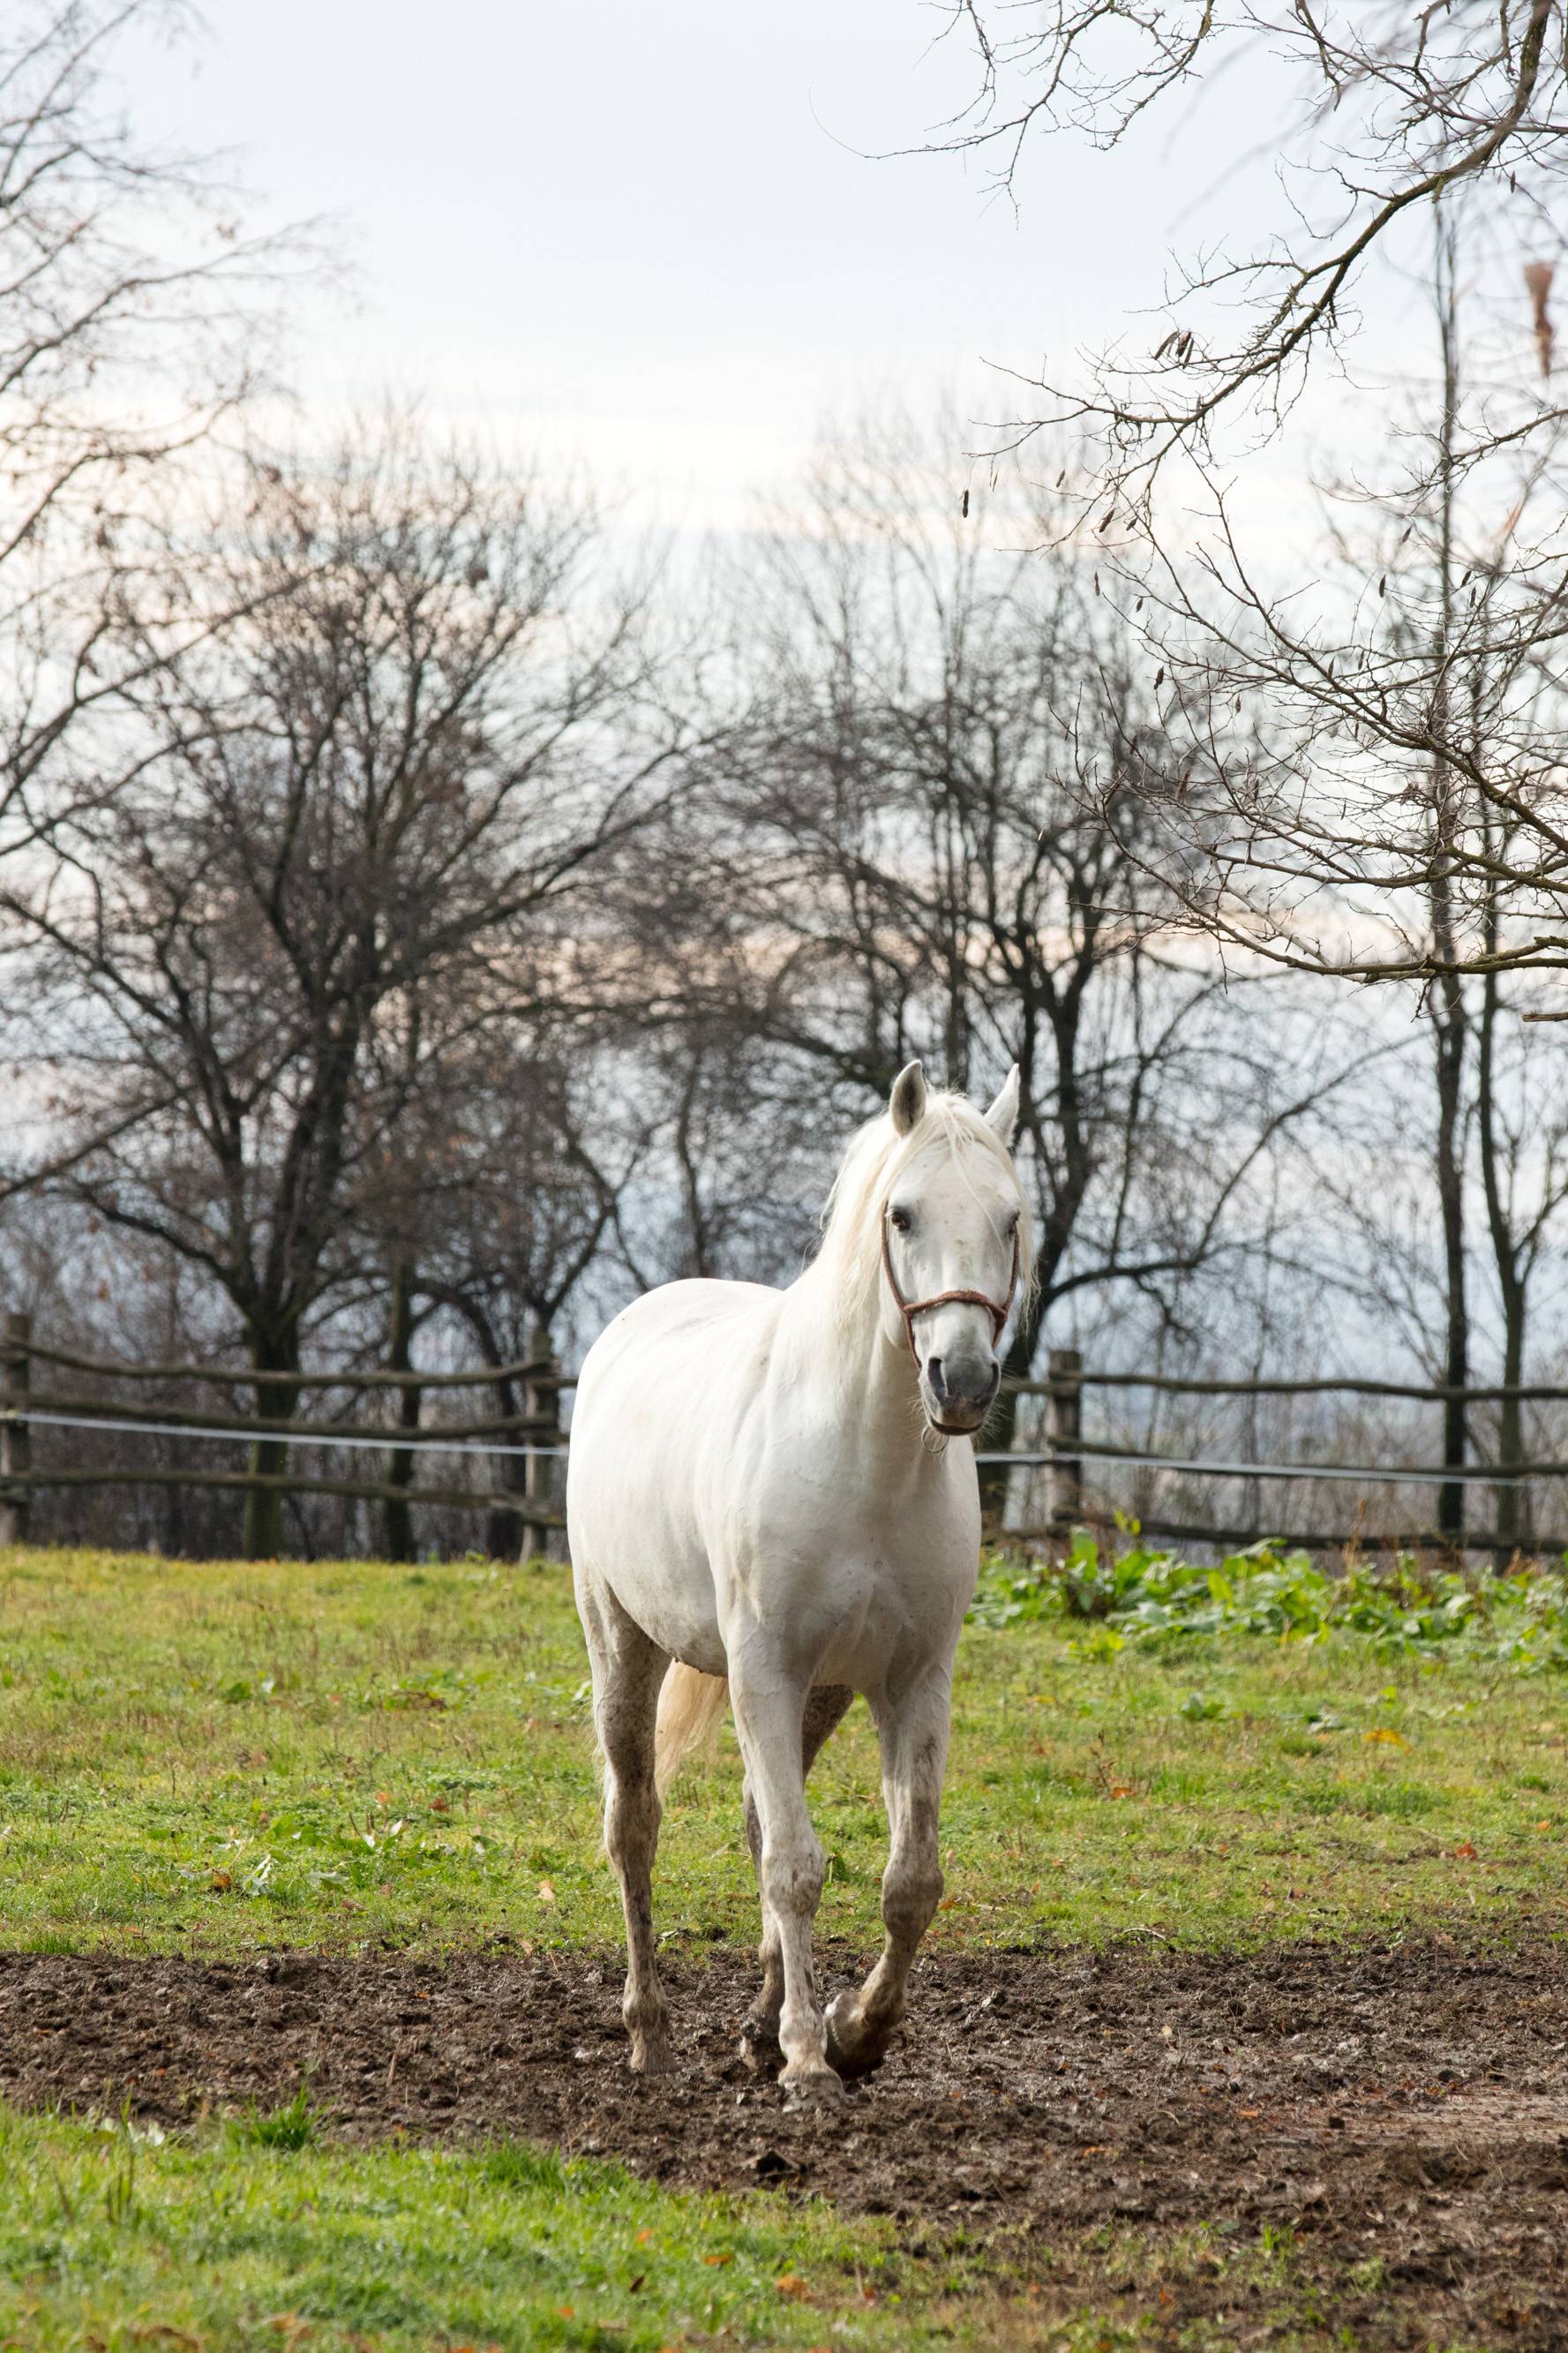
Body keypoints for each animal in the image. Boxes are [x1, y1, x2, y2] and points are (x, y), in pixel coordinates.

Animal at [564, 1058, 1029, 2108]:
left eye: (1010, 1216)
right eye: (901, 1213)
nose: (962, 1381)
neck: (866, 1461)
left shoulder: (909, 1682)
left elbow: (909, 1880)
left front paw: (854, 2031)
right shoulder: (763, 1670)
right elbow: (795, 1867)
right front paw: (812, 2063)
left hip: (818, 1693)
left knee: (749, 1817)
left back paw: (755, 2024)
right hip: (624, 1644)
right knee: (634, 1824)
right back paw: (651, 2033)